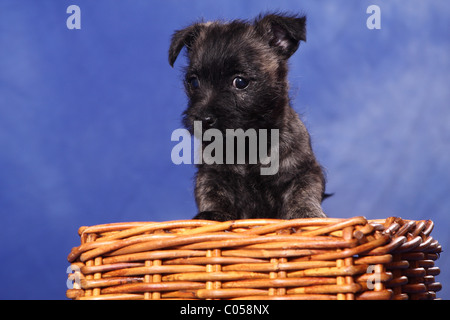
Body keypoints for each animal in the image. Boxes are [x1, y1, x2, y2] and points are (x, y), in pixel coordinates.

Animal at [169, 13, 326, 221]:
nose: (202, 119)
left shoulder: (304, 172)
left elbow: (302, 194)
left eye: (240, 82)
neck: (247, 145)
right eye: (193, 82)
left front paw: (306, 214)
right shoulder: (210, 174)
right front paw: (213, 214)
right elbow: (212, 194)